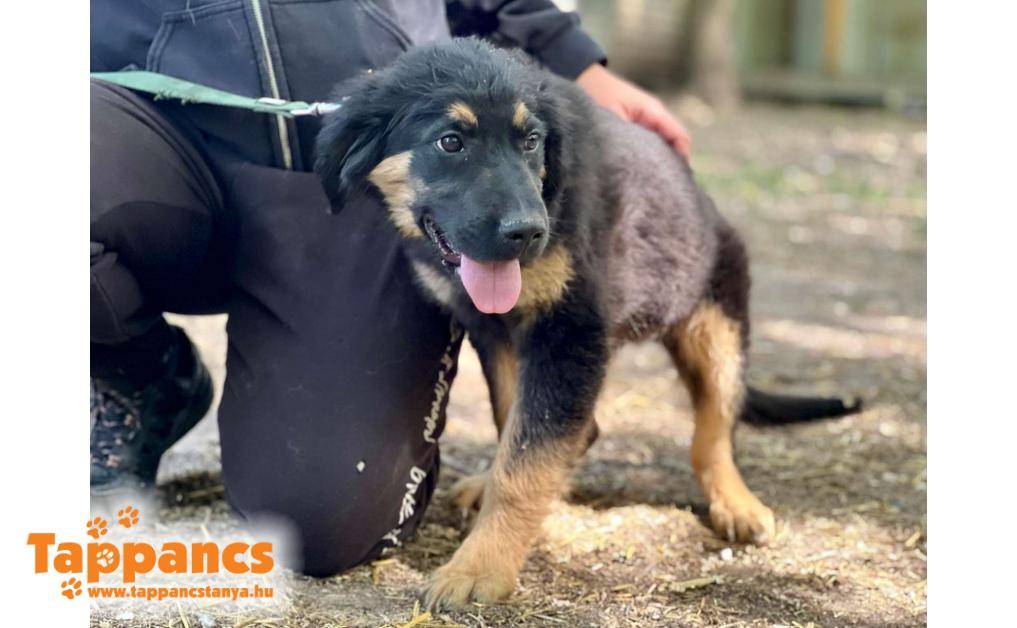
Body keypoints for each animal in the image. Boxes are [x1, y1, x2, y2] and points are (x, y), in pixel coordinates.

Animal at [314, 38, 860, 609]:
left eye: (532, 142)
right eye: (450, 142)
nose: (529, 233)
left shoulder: (570, 332)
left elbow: (526, 461)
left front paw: (481, 567)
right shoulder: (498, 331)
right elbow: (516, 426)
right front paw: (497, 509)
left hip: (717, 325)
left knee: (712, 431)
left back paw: (737, 503)